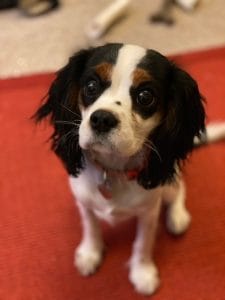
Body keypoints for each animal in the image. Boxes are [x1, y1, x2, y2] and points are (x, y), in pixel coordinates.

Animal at [33, 44, 225, 296]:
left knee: (178, 187)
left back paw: (177, 218)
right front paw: (90, 253)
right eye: (91, 86)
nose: (102, 119)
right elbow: (90, 226)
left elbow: (143, 243)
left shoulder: (149, 211)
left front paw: (142, 274)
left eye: (145, 96)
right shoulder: (83, 201)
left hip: (167, 187)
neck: (113, 170)